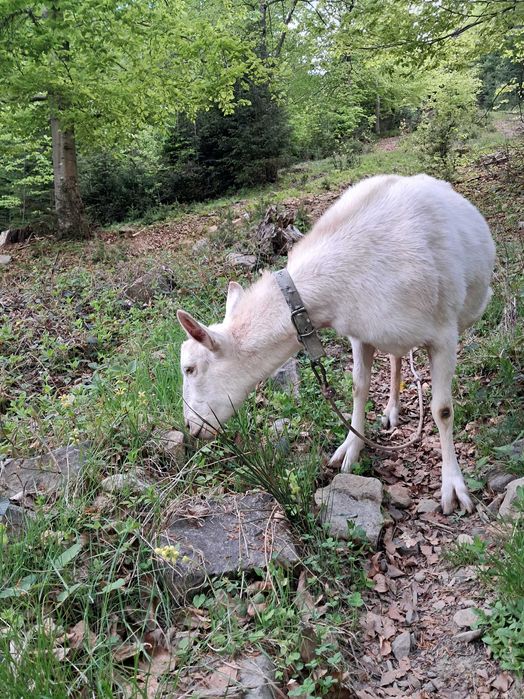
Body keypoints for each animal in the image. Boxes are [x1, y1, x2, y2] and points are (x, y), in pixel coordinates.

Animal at [177, 174, 495, 514]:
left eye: (190, 368)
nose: (191, 428)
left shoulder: (443, 334)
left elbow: (443, 410)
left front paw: (453, 488)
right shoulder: (361, 332)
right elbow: (359, 388)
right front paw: (350, 449)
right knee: (396, 358)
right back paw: (392, 410)